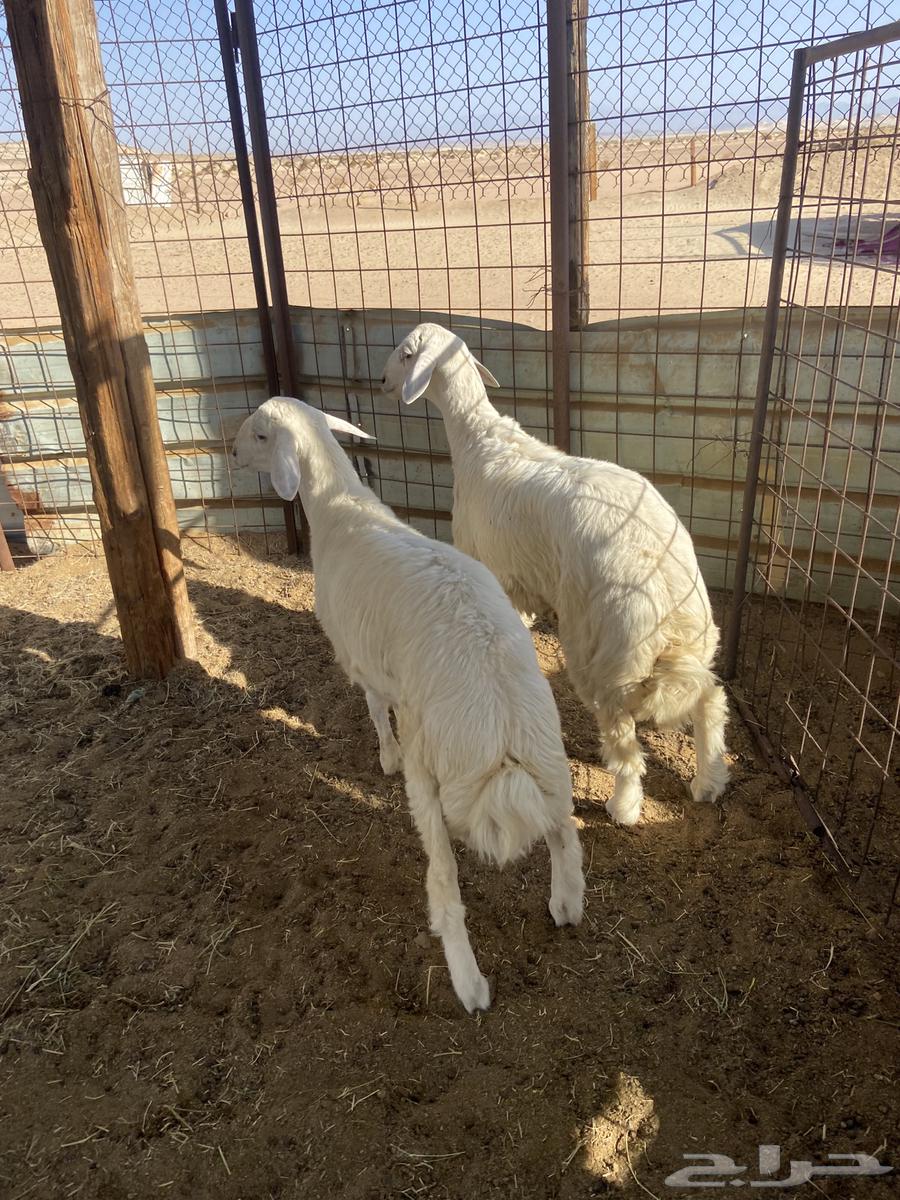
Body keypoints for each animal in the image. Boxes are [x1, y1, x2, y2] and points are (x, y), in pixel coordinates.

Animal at [231, 397, 584, 1012]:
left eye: (259, 434)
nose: (228, 450)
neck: (339, 506)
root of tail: (502, 734)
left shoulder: (363, 658)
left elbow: (376, 711)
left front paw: (385, 757)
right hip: (550, 761)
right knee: (566, 834)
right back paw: (566, 906)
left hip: (437, 775)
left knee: (444, 884)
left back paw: (469, 983)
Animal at [381, 324, 729, 827]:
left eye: (407, 354)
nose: (383, 382)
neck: (479, 439)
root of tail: (661, 582)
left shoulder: (489, 565)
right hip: (696, 637)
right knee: (710, 700)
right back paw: (709, 781)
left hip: (603, 649)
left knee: (625, 741)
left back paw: (624, 806)